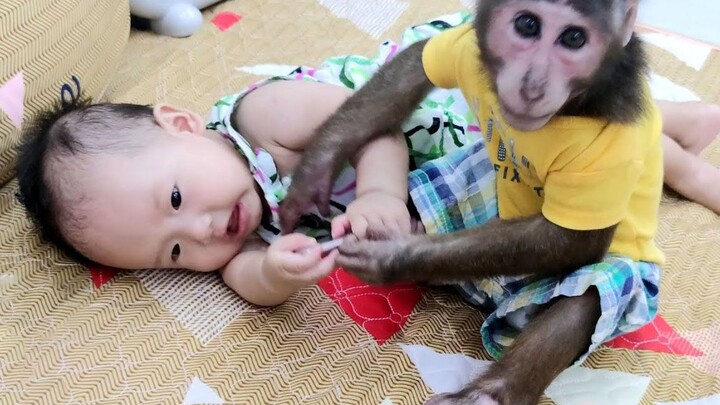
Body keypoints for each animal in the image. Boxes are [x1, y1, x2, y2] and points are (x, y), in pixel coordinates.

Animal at [280, 1, 664, 404]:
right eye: (528, 25)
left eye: (574, 38)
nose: (532, 86)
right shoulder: (463, 49)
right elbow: (418, 59)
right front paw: (315, 170)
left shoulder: (616, 149)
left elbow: (577, 241)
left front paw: (391, 257)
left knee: (593, 289)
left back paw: (487, 395)